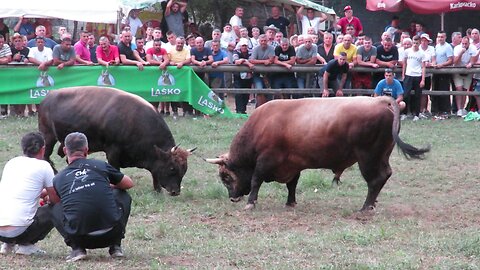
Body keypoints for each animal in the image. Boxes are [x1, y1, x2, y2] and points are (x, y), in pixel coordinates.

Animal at [38, 86, 194, 194]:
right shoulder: (113, 151)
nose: (175, 192)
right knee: (45, 156)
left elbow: (155, 173)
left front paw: (157, 190)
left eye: (184, 169)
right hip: (48, 137)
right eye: (172, 168)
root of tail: (50, 95)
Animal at [204, 97, 430, 211]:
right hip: (381, 155)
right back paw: (372, 203)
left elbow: (255, 180)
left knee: (376, 179)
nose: (232, 198)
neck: (262, 125)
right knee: (385, 175)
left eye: (225, 177)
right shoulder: (292, 163)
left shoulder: (266, 160)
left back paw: (365, 206)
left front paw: (251, 202)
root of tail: (382, 101)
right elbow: (292, 184)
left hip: (368, 158)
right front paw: (291, 202)